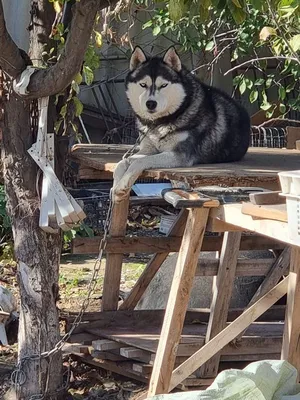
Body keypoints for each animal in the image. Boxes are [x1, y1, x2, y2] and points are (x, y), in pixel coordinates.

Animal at [112, 46, 251, 202]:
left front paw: (123, 183)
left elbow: (139, 162)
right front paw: (116, 184)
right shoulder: (147, 150)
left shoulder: (178, 155)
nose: (151, 103)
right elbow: (123, 161)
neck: (160, 123)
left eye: (163, 85)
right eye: (143, 84)